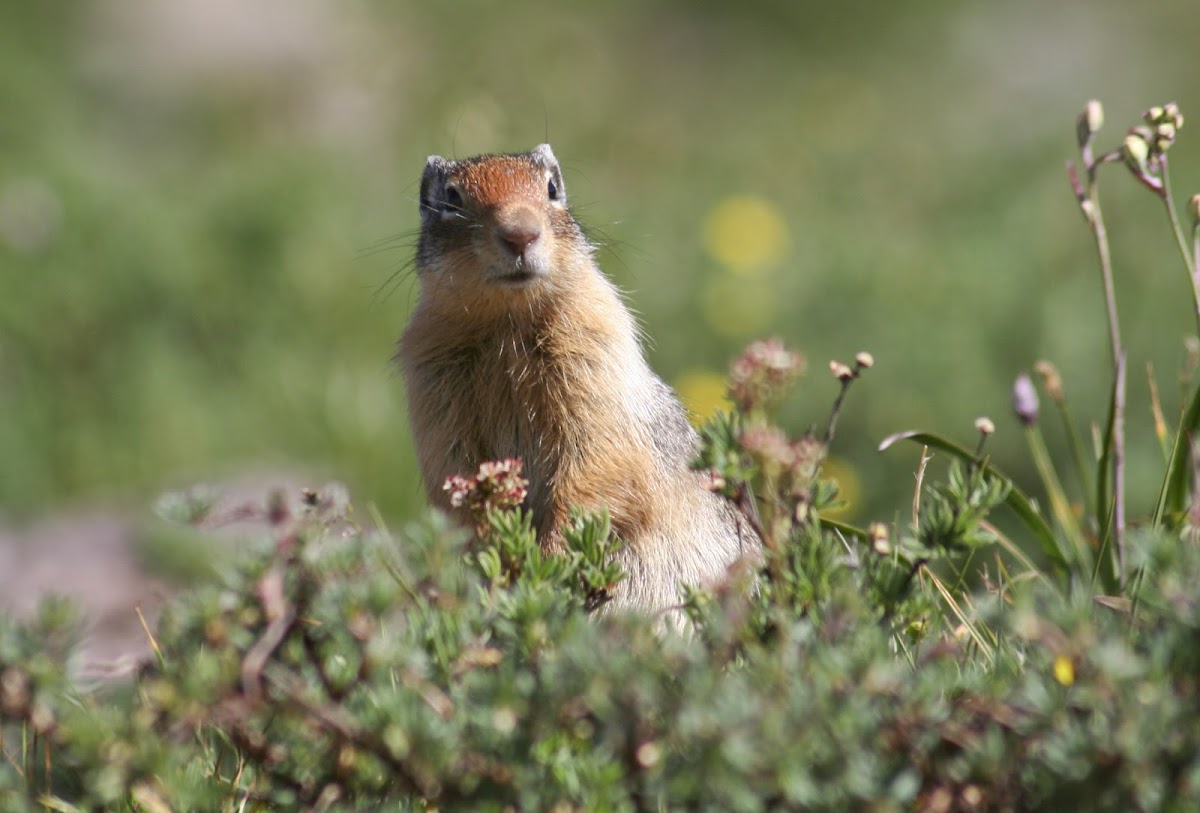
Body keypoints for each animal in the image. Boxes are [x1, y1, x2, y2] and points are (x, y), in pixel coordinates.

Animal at [403, 145, 758, 618]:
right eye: (452, 198)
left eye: (552, 189)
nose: (521, 234)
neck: (508, 322)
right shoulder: (432, 380)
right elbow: (456, 475)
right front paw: (497, 556)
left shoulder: (596, 358)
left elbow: (595, 464)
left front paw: (550, 560)